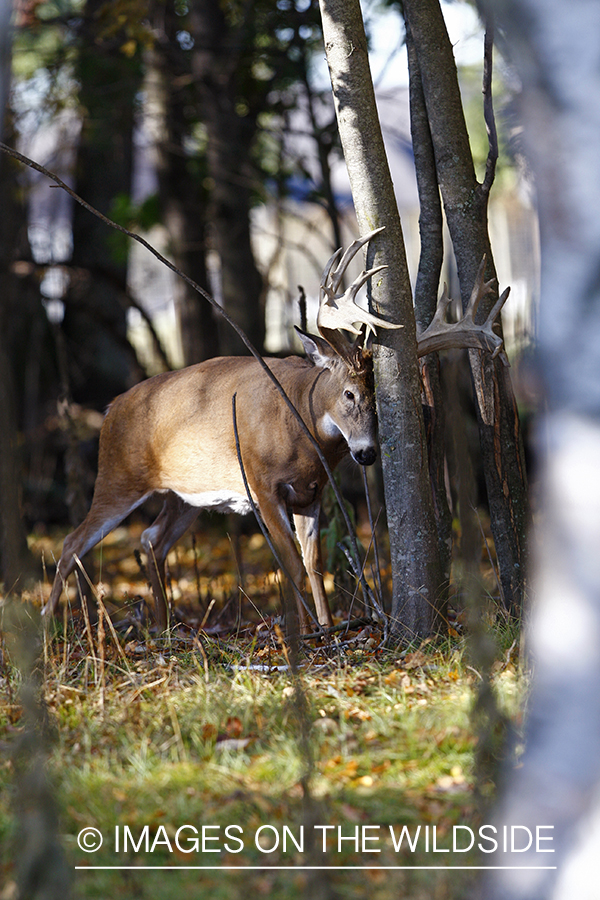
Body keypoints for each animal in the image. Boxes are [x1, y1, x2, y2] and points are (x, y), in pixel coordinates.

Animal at [44, 229, 508, 636]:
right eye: (349, 393)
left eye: (380, 397)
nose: (367, 454)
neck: (301, 429)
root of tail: (110, 408)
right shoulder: (261, 484)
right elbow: (289, 562)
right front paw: (301, 634)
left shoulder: (311, 493)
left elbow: (313, 562)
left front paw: (324, 627)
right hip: (118, 476)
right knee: (72, 542)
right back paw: (51, 626)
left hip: (184, 496)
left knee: (149, 539)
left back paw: (163, 625)